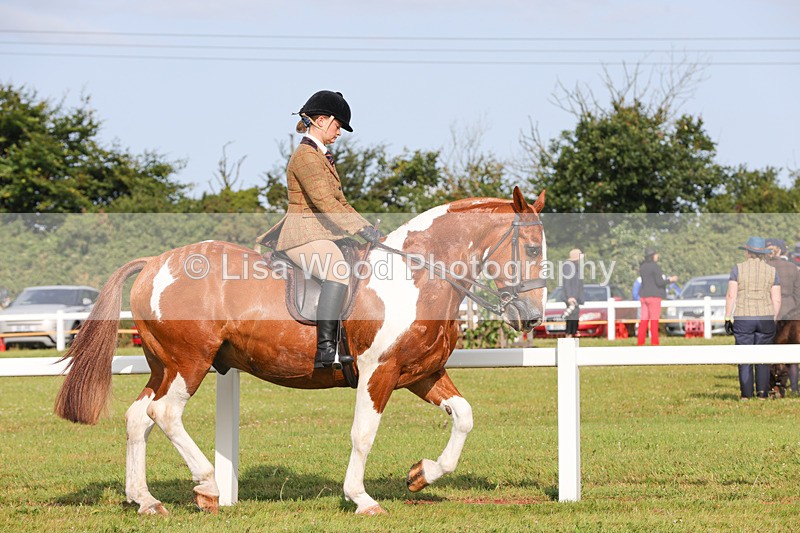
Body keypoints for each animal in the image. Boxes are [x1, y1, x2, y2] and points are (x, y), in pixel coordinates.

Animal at [54, 186, 547, 516]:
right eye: (531, 247)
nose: (531, 317)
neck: (416, 276)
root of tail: (155, 263)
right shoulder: (379, 372)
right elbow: (363, 434)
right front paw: (362, 498)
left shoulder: (420, 372)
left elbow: (463, 416)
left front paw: (421, 475)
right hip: (190, 362)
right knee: (166, 414)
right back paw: (208, 487)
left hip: (165, 365)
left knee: (139, 418)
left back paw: (146, 499)